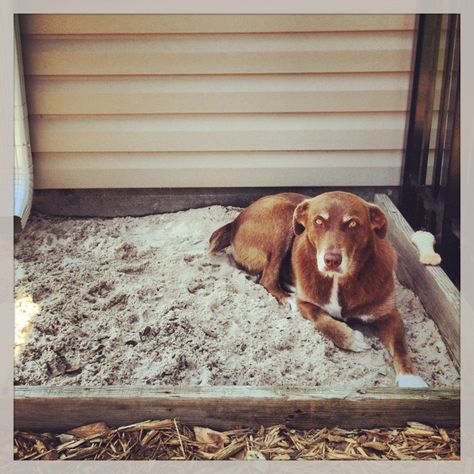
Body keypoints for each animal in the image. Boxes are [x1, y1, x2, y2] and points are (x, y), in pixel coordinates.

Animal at [209, 191, 428, 386]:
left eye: (353, 223)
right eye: (318, 222)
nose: (331, 260)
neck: (338, 280)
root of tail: (235, 221)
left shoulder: (390, 314)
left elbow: (400, 346)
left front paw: (411, 379)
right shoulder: (306, 303)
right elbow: (320, 317)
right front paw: (350, 338)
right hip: (283, 217)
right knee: (267, 279)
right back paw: (287, 297)